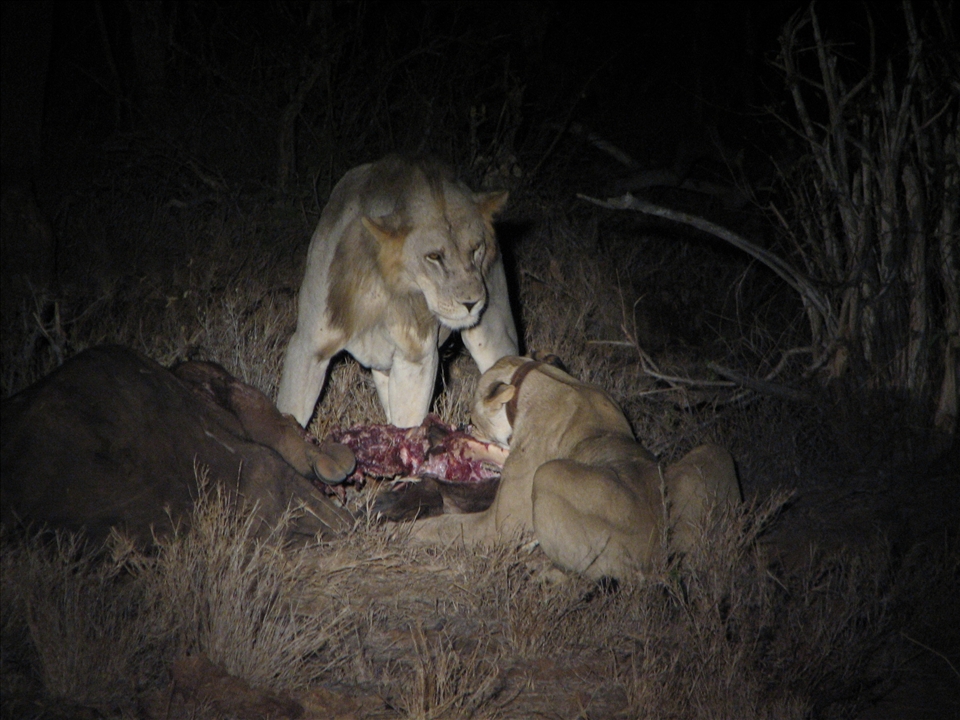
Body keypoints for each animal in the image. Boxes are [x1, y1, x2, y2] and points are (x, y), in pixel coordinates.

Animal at [277, 155, 518, 429]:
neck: (380, 286)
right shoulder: (307, 347)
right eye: (434, 257)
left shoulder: (416, 357)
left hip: (495, 337)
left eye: (476, 249)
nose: (472, 303)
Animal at [410, 356, 742, 581]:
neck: (541, 377)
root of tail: (659, 552)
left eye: (473, 419)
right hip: (713, 453)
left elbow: (443, 526)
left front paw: (401, 531)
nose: (463, 427)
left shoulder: (501, 525)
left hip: (549, 475)